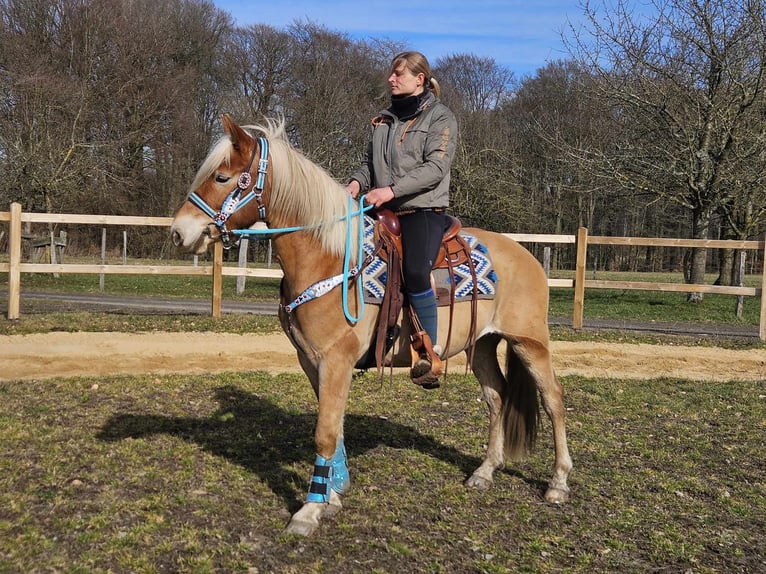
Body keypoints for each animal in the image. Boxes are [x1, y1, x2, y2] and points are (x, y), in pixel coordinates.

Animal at [171, 115, 572, 536]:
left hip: (530, 342)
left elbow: (325, 432)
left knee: (553, 400)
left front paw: (309, 510)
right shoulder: (311, 361)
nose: (179, 232)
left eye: (221, 177)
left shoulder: (337, 360)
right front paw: (331, 496)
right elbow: (335, 427)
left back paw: (558, 484)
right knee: (496, 397)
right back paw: (485, 471)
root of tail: (527, 255)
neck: (330, 258)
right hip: (481, 345)